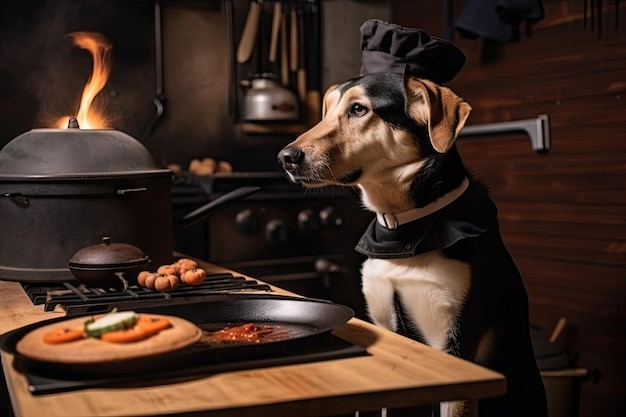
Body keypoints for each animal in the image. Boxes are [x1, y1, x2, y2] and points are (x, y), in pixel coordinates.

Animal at [278, 72, 544, 416]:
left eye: (359, 109)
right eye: (326, 112)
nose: (286, 158)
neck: (402, 224)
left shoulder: (455, 346)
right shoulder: (388, 330)